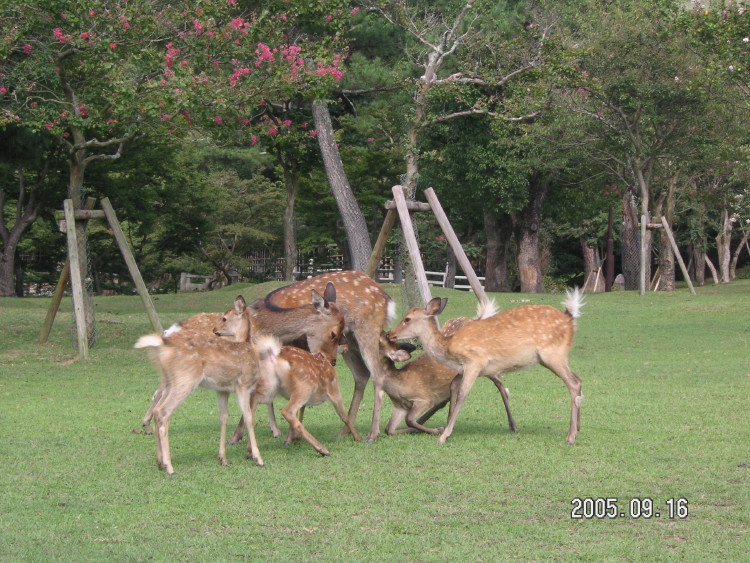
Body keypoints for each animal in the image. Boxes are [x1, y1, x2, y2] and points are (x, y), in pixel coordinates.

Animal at [138, 284, 344, 438]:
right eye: (334, 333)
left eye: (343, 332)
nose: (332, 361)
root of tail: (167, 332)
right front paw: (268, 431)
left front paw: (274, 430)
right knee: (160, 392)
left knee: (159, 391)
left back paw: (146, 425)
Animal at [258, 270, 400, 442]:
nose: (332, 360)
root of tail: (387, 299)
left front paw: (290, 436)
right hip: (351, 339)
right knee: (362, 373)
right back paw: (344, 431)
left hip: (367, 329)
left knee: (377, 374)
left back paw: (372, 433)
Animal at [388, 288, 588, 448]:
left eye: (407, 319)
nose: (390, 334)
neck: (449, 347)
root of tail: (569, 317)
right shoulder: (462, 369)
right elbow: (453, 388)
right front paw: (446, 428)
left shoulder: (474, 362)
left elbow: (462, 394)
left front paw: (443, 436)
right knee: (578, 380)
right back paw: (578, 428)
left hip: (552, 354)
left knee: (573, 383)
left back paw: (570, 437)